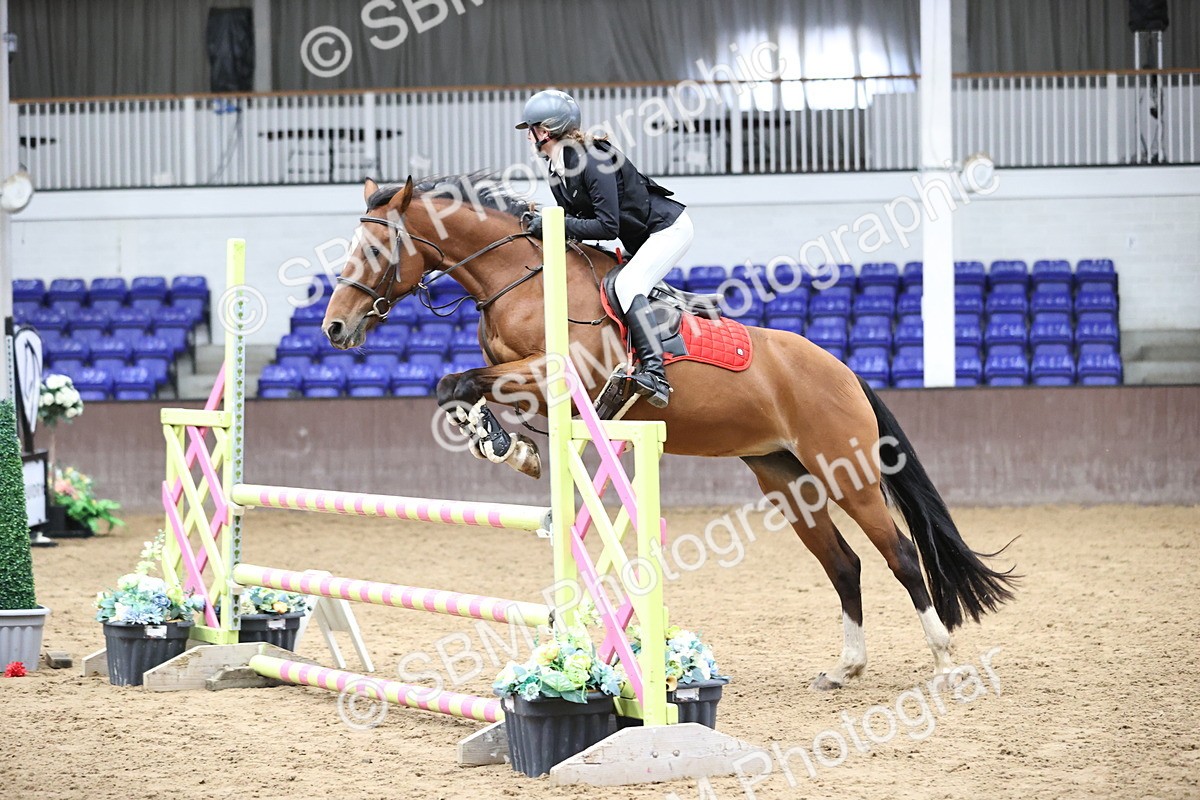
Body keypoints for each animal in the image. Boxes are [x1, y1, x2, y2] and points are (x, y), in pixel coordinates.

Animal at [322, 174, 1016, 690]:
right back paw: (845, 667)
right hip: (786, 479)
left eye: (377, 251)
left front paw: (506, 445)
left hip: (846, 473)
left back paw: (944, 662)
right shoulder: (533, 387)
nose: (334, 328)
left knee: (899, 555)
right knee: (844, 564)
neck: (519, 278)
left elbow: (461, 381)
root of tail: (842, 370)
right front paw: (506, 444)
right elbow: (459, 387)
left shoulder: (558, 375)